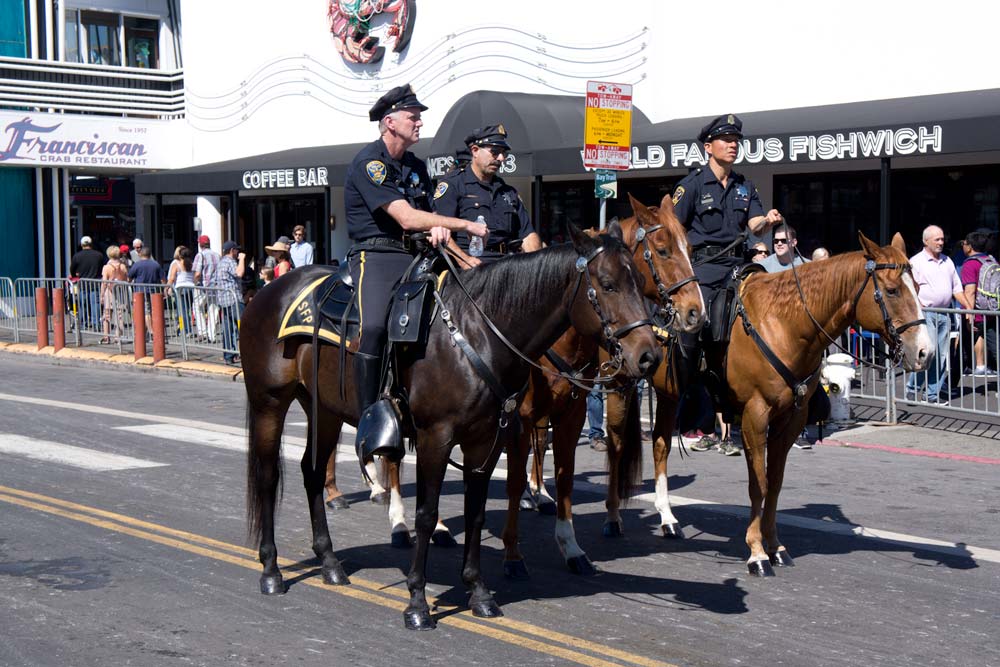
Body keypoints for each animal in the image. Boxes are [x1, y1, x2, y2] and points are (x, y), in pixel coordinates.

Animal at [242, 224, 664, 632]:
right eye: (607, 284)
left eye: (638, 281)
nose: (649, 356)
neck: (478, 332)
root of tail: (265, 293)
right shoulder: (436, 437)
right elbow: (427, 514)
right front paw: (417, 602)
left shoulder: (485, 440)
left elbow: (476, 512)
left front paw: (479, 593)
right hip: (269, 403)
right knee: (267, 476)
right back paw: (271, 570)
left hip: (324, 410)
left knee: (312, 473)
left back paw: (329, 562)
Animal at [498, 192, 704, 576]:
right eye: (663, 249)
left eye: (692, 248)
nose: (695, 312)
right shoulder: (524, 410)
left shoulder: (625, 392)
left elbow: (633, 446)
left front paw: (651, 516)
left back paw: (540, 494)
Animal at [728, 232, 928, 576]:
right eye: (891, 290)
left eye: (916, 286)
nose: (925, 353)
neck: (782, 324)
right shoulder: (754, 415)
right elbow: (759, 485)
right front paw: (756, 552)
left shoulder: (790, 419)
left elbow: (775, 483)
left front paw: (775, 546)